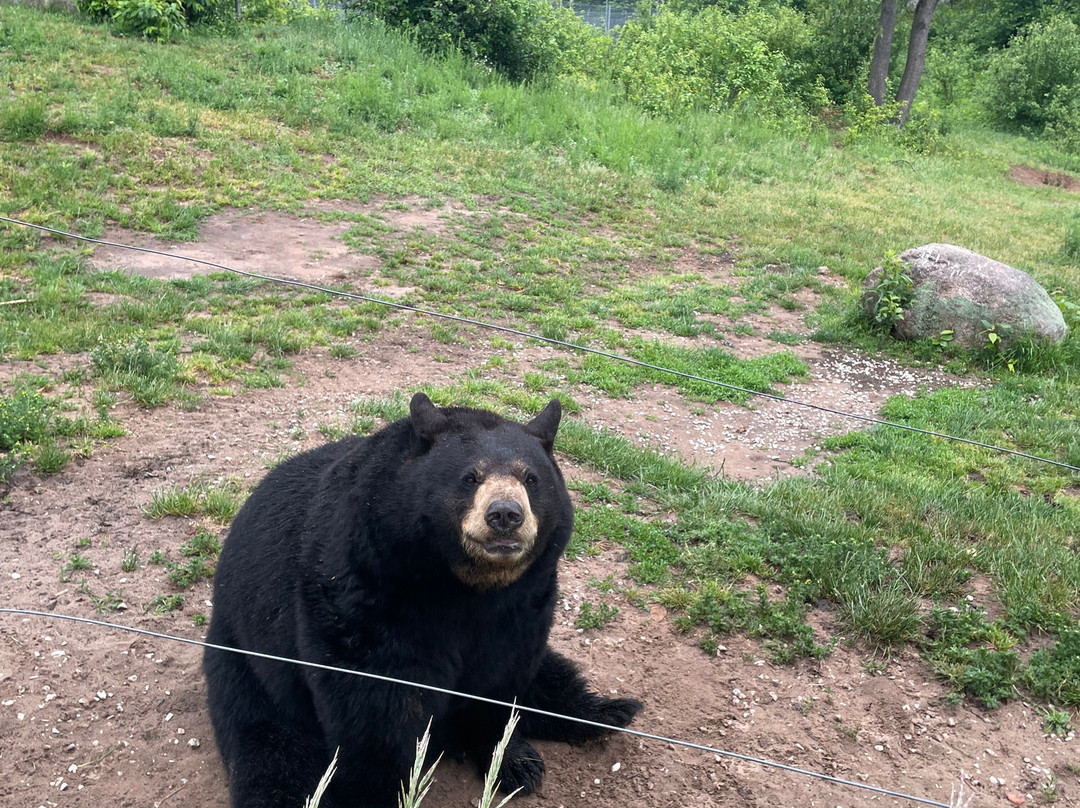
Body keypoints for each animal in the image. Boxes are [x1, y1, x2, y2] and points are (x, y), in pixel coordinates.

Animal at [203, 392, 642, 808]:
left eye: (530, 478)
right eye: (470, 477)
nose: (505, 514)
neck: (461, 587)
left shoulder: (522, 607)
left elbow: (503, 679)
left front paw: (514, 762)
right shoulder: (364, 594)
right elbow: (373, 706)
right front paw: (383, 790)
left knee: (551, 677)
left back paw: (608, 711)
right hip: (248, 671)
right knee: (274, 755)